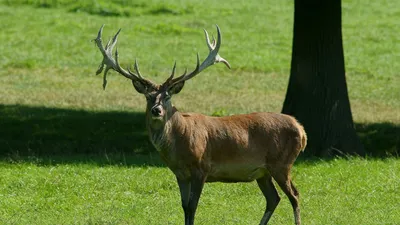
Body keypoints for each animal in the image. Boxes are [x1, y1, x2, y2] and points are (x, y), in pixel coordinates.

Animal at [92, 24, 308, 225]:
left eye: (168, 96)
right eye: (148, 96)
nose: (156, 110)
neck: (178, 147)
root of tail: (301, 129)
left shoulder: (201, 167)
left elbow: (193, 205)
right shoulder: (180, 173)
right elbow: (184, 206)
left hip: (282, 163)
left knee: (295, 195)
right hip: (262, 172)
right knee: (274, 198)